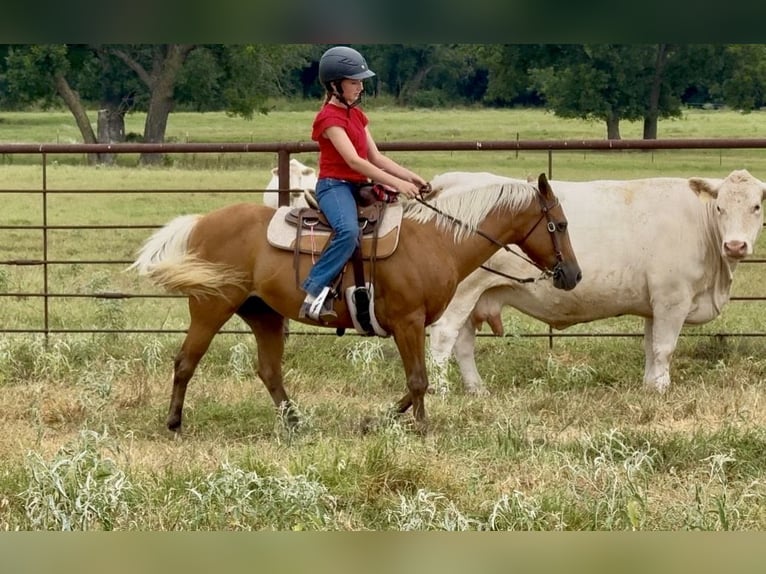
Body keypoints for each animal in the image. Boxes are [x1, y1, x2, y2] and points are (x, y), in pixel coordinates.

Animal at [129, 173, 582, 434]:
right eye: (559, 224)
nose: (573, 275)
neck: (436, 238)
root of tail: (202, 222)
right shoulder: (407, 321)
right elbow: (419, 379)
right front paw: (422, 428)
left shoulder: (412, 324)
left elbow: (413, 382)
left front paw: (378, 419)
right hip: (211, 307)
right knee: (186, 362)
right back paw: (174, 423)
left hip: (263, 314)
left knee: (269, 371)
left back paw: (296, 423)